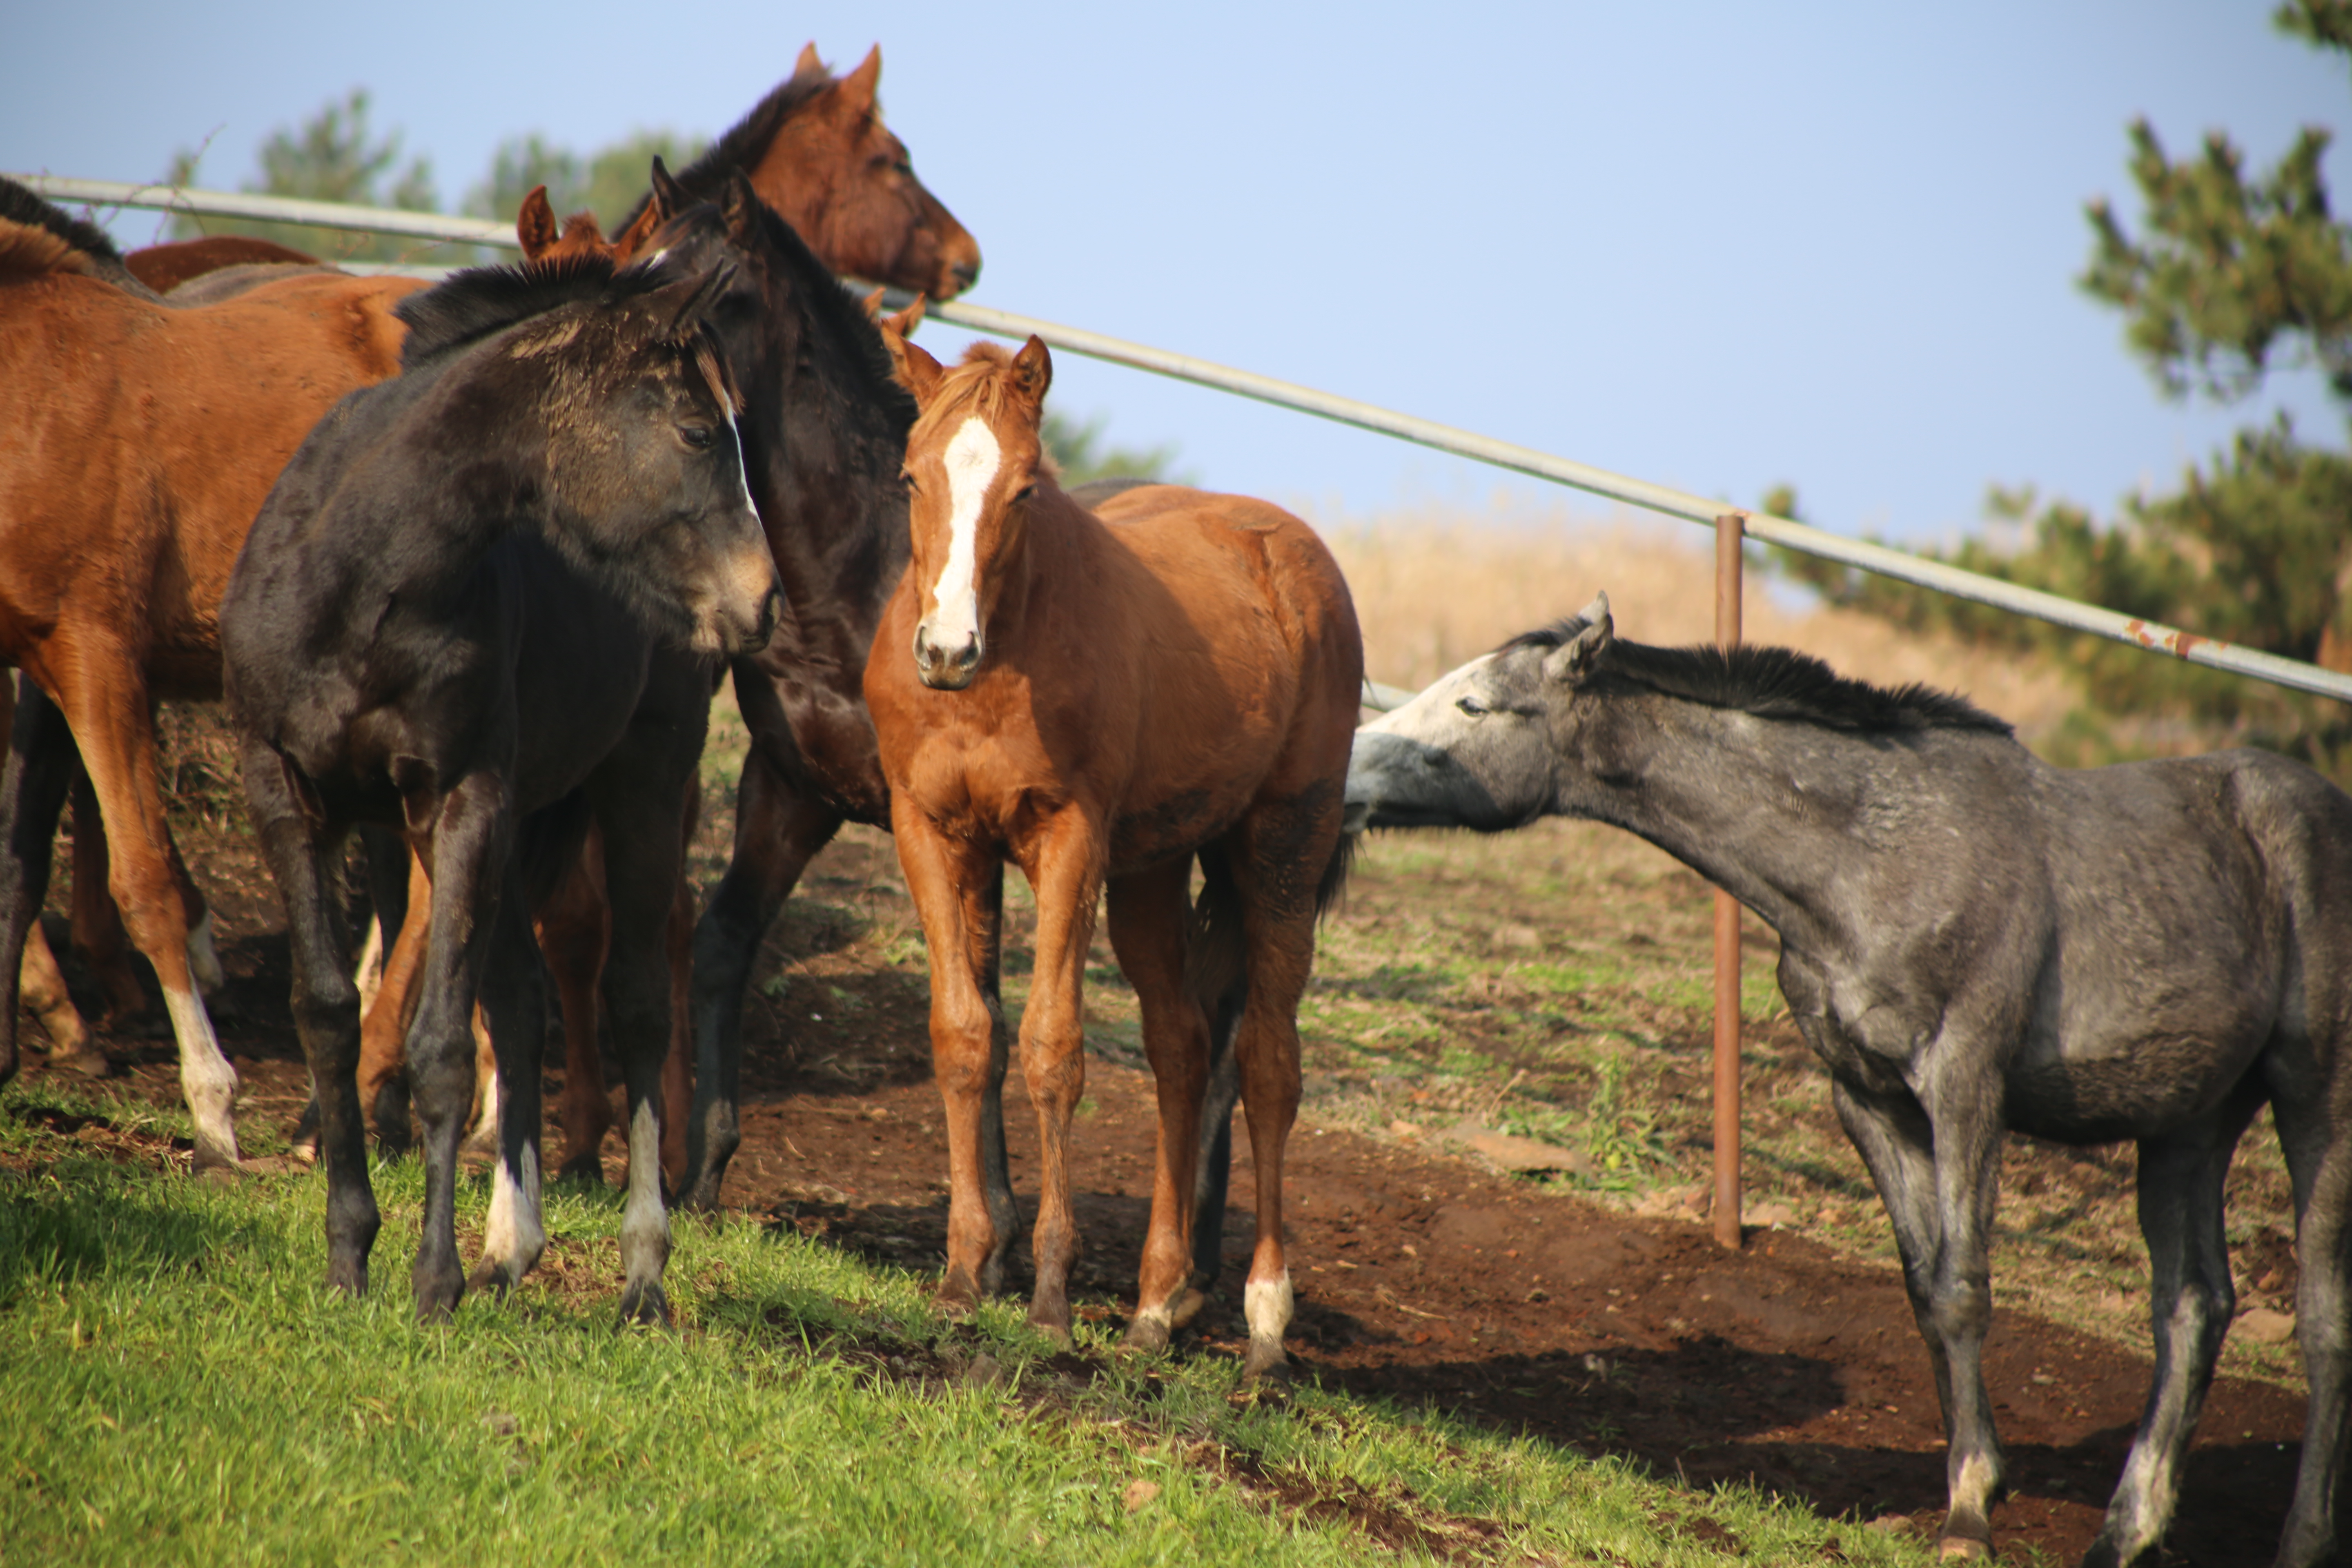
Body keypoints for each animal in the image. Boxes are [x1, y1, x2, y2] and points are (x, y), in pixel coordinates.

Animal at [221, 255, 776, 1326]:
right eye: (698, 430)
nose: (761, 598)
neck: (359, 574)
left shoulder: (459, 797)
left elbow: (440, 1042)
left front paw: (430, 1281)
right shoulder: (291, 795)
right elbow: (329, 1014)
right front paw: (350, 1257)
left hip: (641, 785)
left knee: (638, 999)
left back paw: (642, 1271)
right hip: (519, 825)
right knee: (520, 998)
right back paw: (510, 1252)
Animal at [861, 331, 1364, 1373]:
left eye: (1022, 488)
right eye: (910, 476)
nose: (946, 649)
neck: (996, 672)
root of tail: (1290, 550)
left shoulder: (1068, 839)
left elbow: (1053, 1047)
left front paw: (1050, 1297)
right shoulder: (931, 833)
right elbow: (963, 1036)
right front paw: (964, 1277)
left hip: (1281, 849)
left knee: (1267, 1061)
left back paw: (1263, 1315)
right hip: (1150, 871)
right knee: (1181, 1046)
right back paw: (1154, 1303)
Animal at [1354, 595, 2352, 1561]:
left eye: (1474, 705)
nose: (1349, 774)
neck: (1875, 855)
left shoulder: (1965, 1084)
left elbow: (1964, 1285)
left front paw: (1969, 1517)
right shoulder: (1869, 1100)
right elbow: (1925, 1291)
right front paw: (1971, 1484)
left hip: (2317, 1100)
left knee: (2319, 1322)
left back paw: (2303, 1539)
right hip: (2189, 1121)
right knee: (2194, 1307)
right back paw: (2126, 1529)